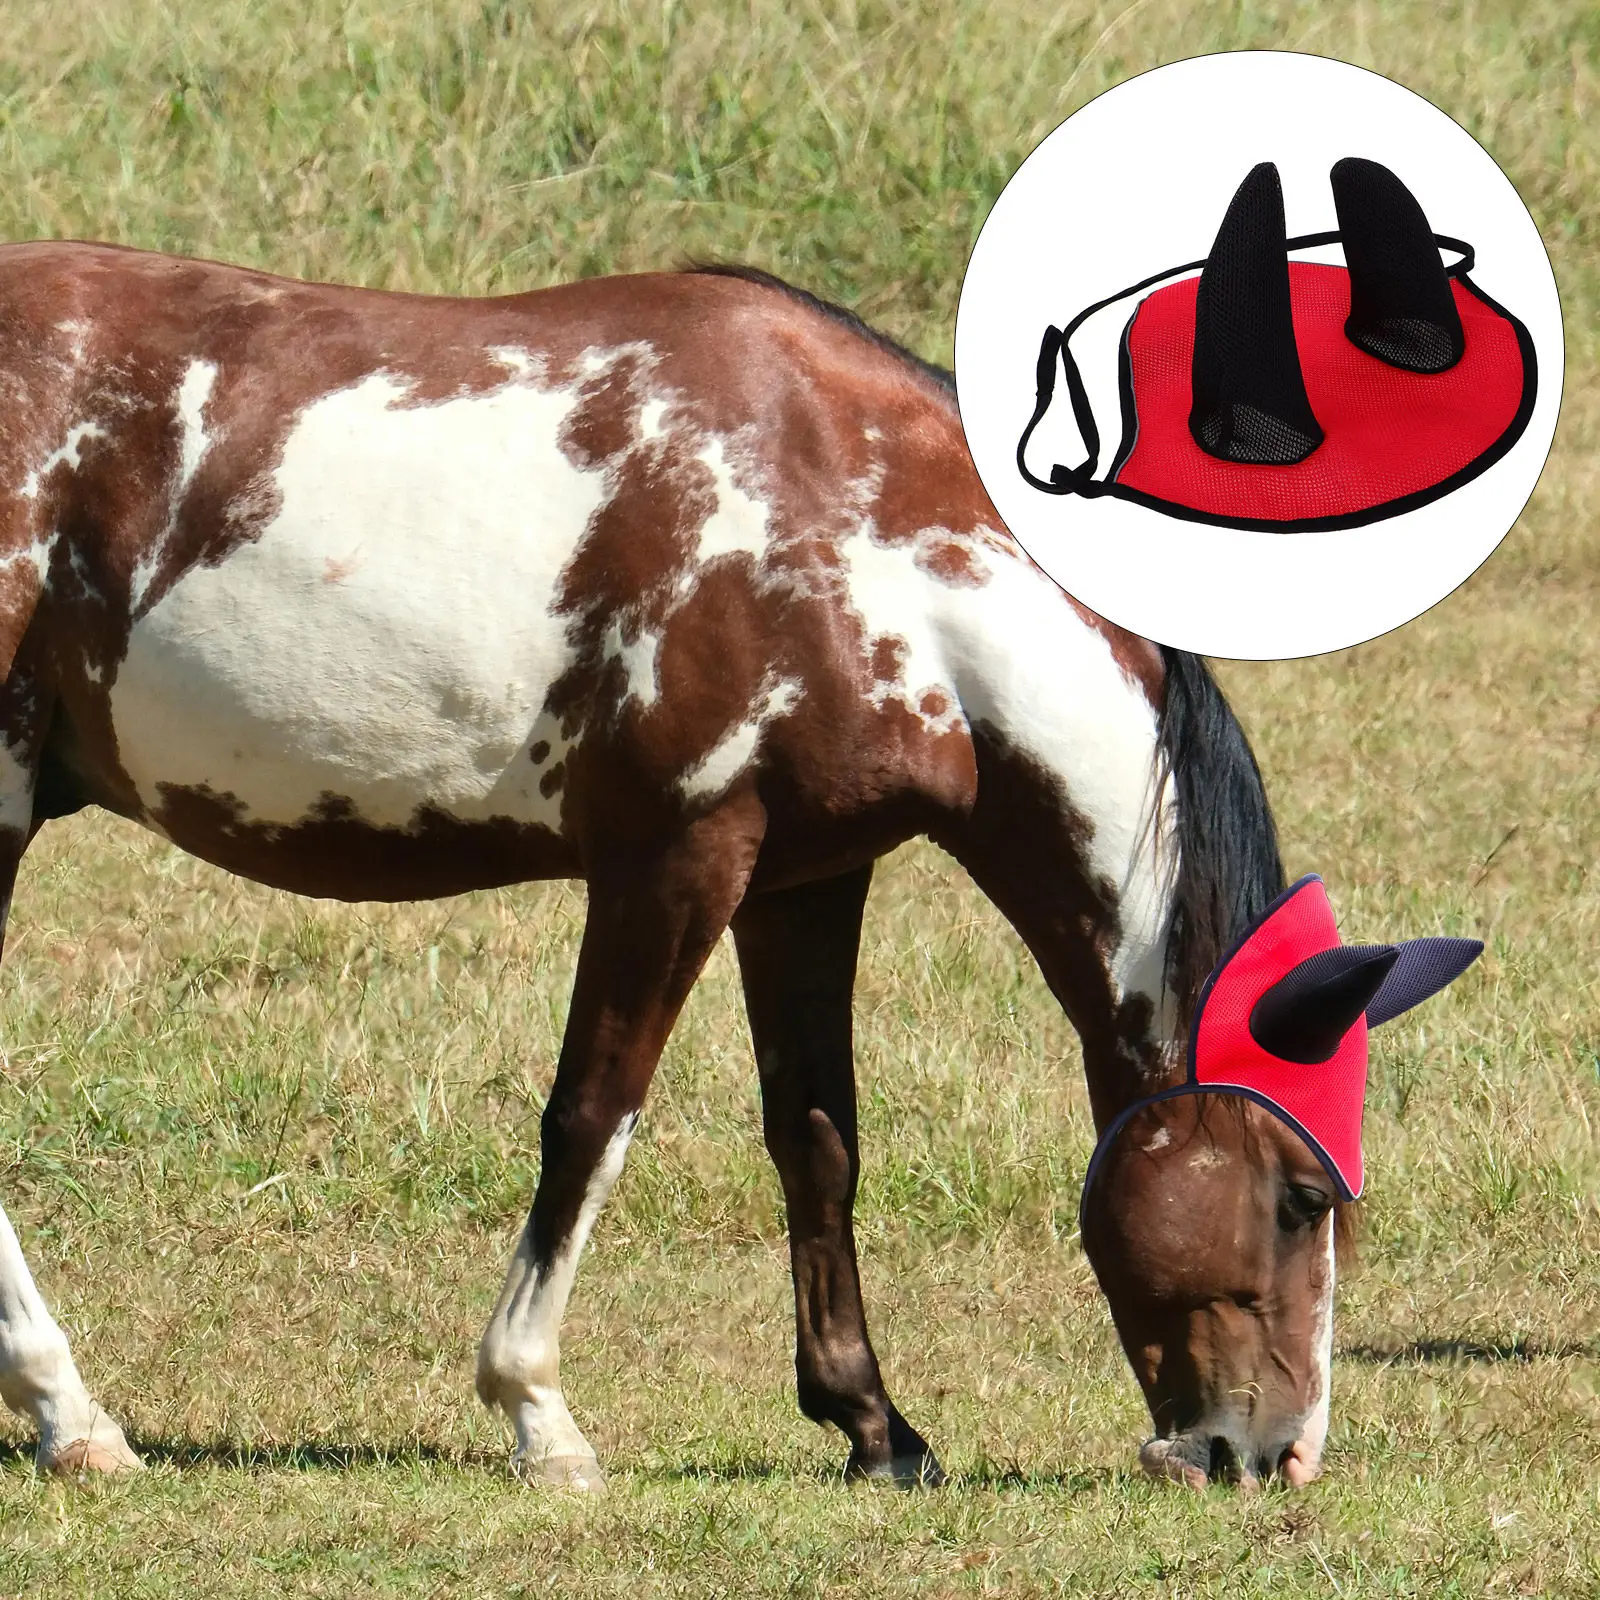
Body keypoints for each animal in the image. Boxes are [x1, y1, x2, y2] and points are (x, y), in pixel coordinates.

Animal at [0, 242, 1335, 1492]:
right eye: (1300, 1196)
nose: (1274, 1454)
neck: (864, 549)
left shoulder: (804, 881)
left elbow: (817, 1136)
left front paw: (873, 1425)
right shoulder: (676, 860)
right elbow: (592, 1118)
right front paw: (538, 1414)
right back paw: (73, 1415)